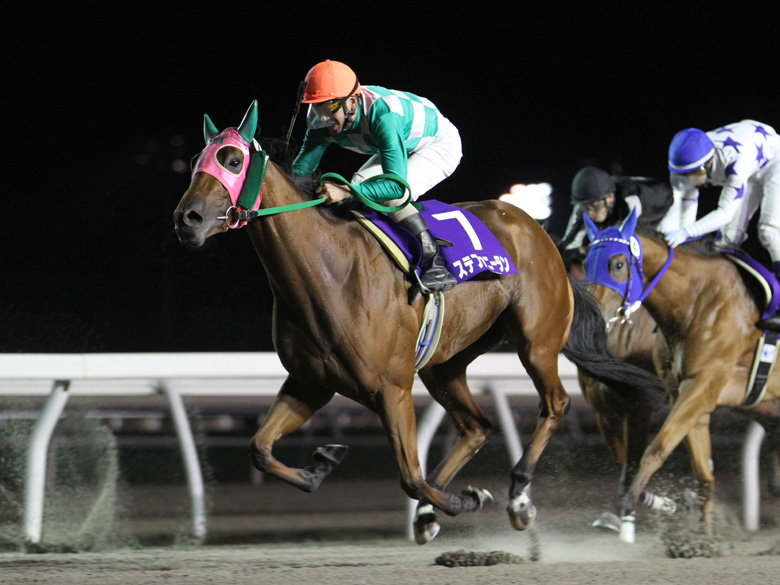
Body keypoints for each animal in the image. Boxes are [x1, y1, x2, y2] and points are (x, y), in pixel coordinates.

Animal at [173, 100, 667, 544]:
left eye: (233, 159)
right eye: (197, 160)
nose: (187, 219)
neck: (331, 273)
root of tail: (538, 231)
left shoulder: (391, 388)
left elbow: (410, 477)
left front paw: (468, 499)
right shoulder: (309, 383)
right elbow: (259, 448)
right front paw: (321, 464)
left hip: (536, 341)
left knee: (555, 404)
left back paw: (518, 496)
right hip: (445, 361)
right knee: (476, 426)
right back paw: (434, 512)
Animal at [583, 208, 780, 542]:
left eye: (617, 264)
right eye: (586, 263)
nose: (593, 314)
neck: (696, 303)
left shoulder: (700, 386)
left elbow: (655, 449)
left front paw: (629, 504)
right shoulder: (685, 395)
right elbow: (703, 477)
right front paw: (703, 540)